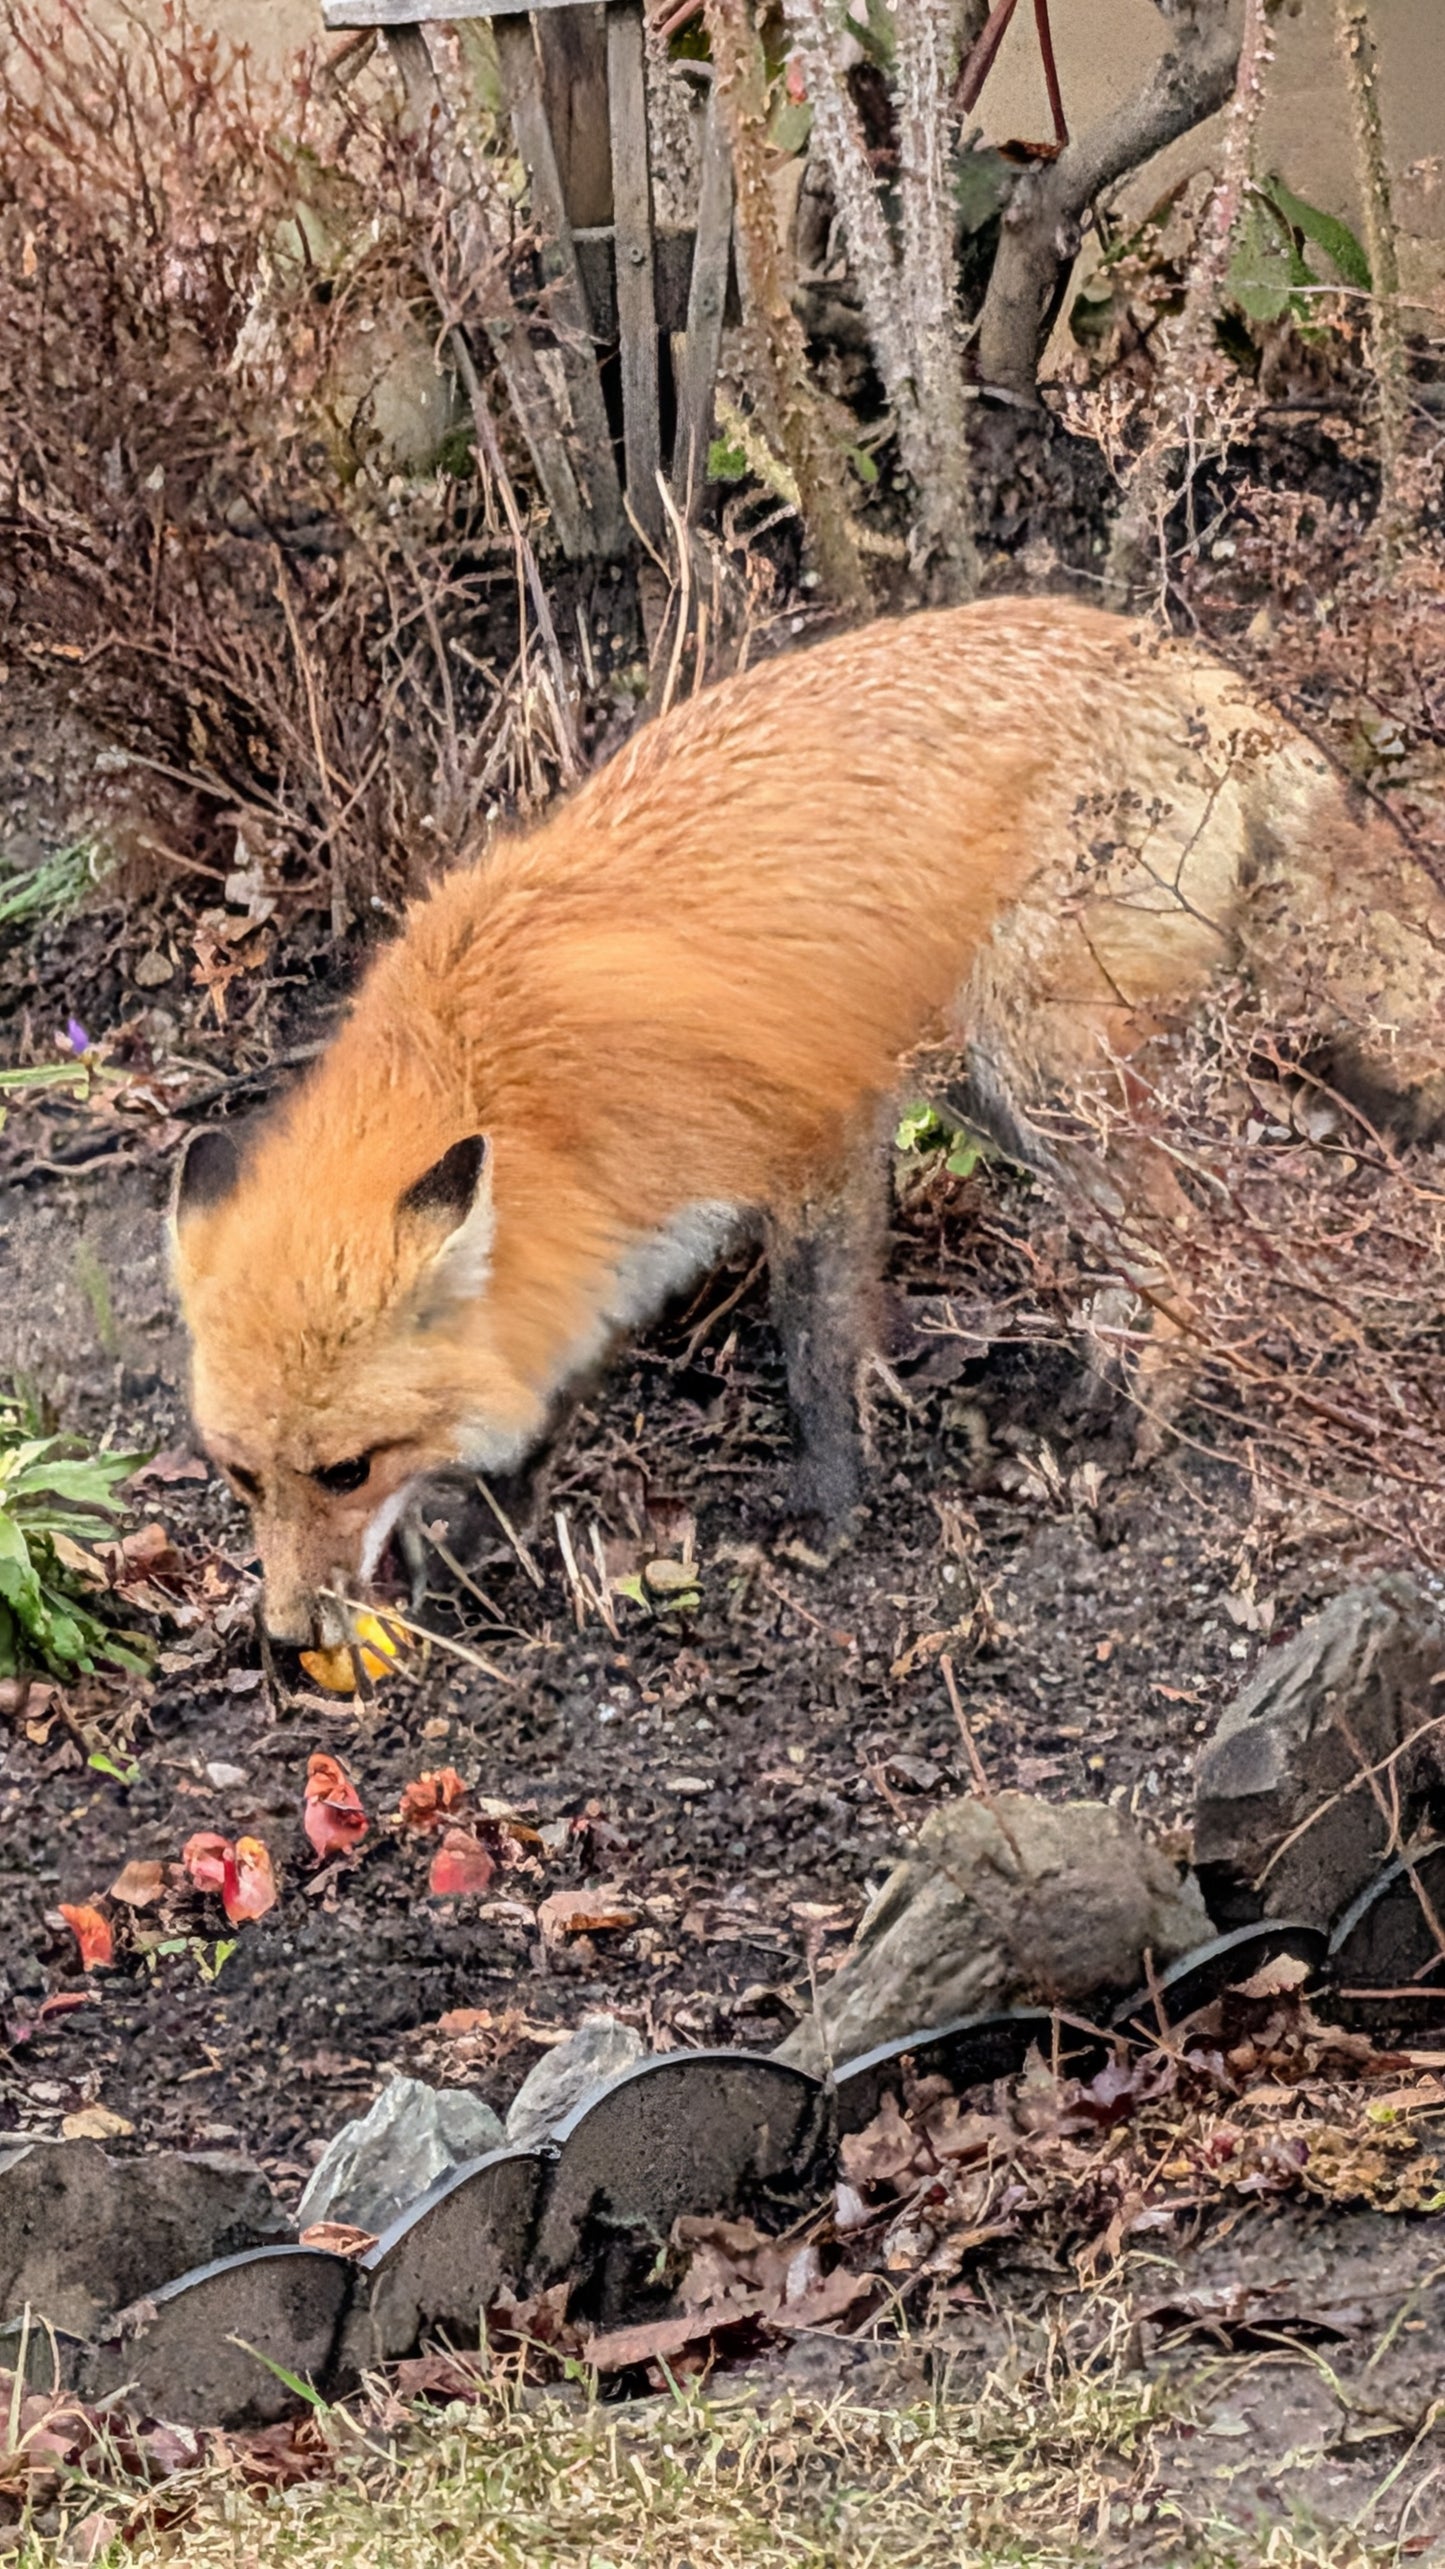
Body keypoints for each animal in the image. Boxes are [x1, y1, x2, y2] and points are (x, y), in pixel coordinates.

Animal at [171, 597, 1445, 1648]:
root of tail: (1180, 657)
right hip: (990, 1086)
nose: (285, 1639)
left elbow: (813, 1346)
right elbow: (553, 1385)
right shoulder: (610, 1237)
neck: (516, 1081)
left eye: (345, 1471)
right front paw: (489, 1532)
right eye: (240, 1478)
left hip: (1036, 1067)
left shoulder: (813, 1137)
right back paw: (1093, 1387)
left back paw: (1142, 1424)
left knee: (1184, 1236)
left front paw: (827, 1507)